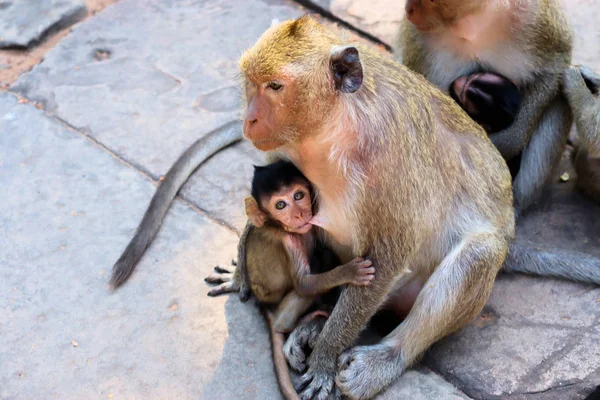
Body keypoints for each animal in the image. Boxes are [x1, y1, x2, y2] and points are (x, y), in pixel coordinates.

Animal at [239, 15, 516, 400]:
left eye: (275, 86)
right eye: (250, 84)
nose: (248, 119)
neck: (331, 128)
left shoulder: (388, 157)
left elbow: (387, 259)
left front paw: (324, 360)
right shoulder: (284, 147)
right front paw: (239, 269)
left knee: (479, 254)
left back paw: (383, 357)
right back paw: (314, 321)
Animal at [398, 0, 572, 217]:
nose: (409, 10)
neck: (475, 23)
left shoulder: (535, 16)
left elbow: (555, 65)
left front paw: (505, 143)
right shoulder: (418, 41)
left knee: (560, 98)